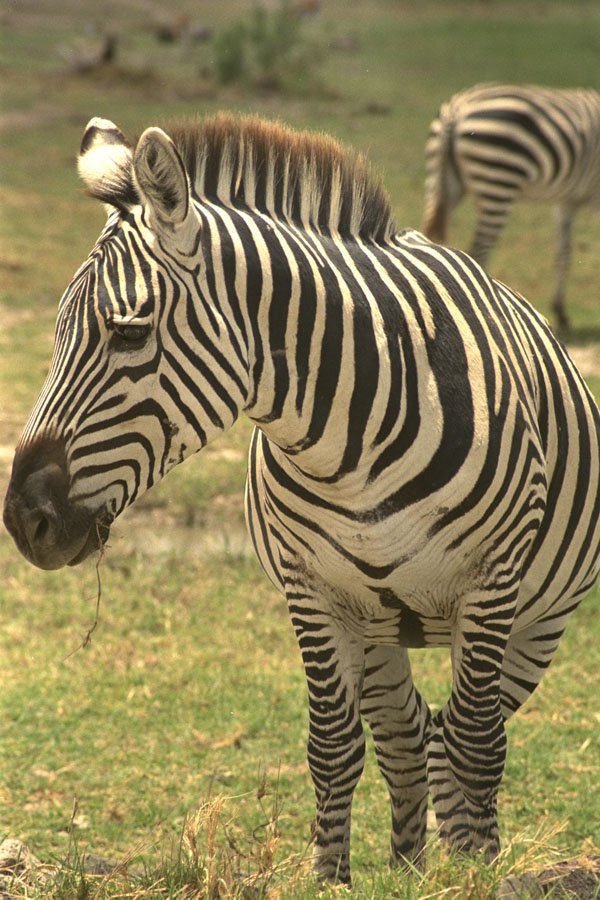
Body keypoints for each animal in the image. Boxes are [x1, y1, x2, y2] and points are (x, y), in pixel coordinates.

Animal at [3, 113, 600, 885]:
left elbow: (476, 744)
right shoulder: (313, 590)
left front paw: (474, 877)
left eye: (129, 331)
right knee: (408, 731)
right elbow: (332, 747)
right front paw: (334, 880)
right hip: (378, 625)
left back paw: (456, 860)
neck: (351, 447)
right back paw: (410, 871)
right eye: (56, 333)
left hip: (537, 623)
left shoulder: (490, 585)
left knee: (464, 731)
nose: (23, 519)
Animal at [422, 83, 600, 331]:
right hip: (499, 178)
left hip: (444, 181)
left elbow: (563, 253)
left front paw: (561, 311)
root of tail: (455, 111)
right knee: (480, 249)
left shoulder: (567, 201)